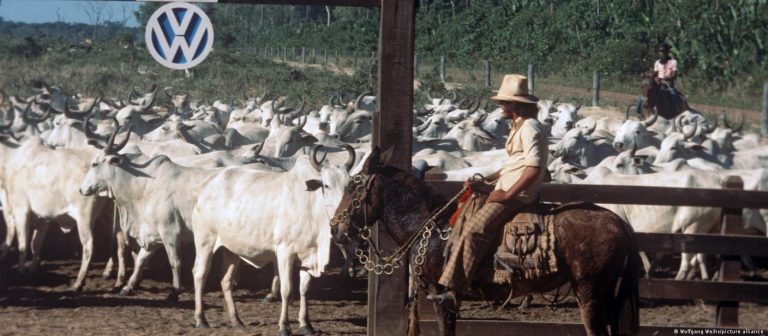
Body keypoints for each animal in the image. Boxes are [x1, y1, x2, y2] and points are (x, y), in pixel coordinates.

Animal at [188, 145, 356, 334]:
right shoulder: (285, 252)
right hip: (205, 241)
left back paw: (236, 320)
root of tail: (204, 186)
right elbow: (287, 290)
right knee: (200, 273)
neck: (311, 206)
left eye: (349, 186)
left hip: (231, 249)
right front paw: (284, 326)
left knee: (226, 280)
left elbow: (304, 289)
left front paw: (306, 324)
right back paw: (201, 319)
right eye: (326, 185)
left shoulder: (308, 255)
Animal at [332, 148, 640, 336]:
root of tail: (619, 223)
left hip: (590, 290)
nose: (336, 228)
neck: (431, 228)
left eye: (351, 186)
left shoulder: (442, 296)